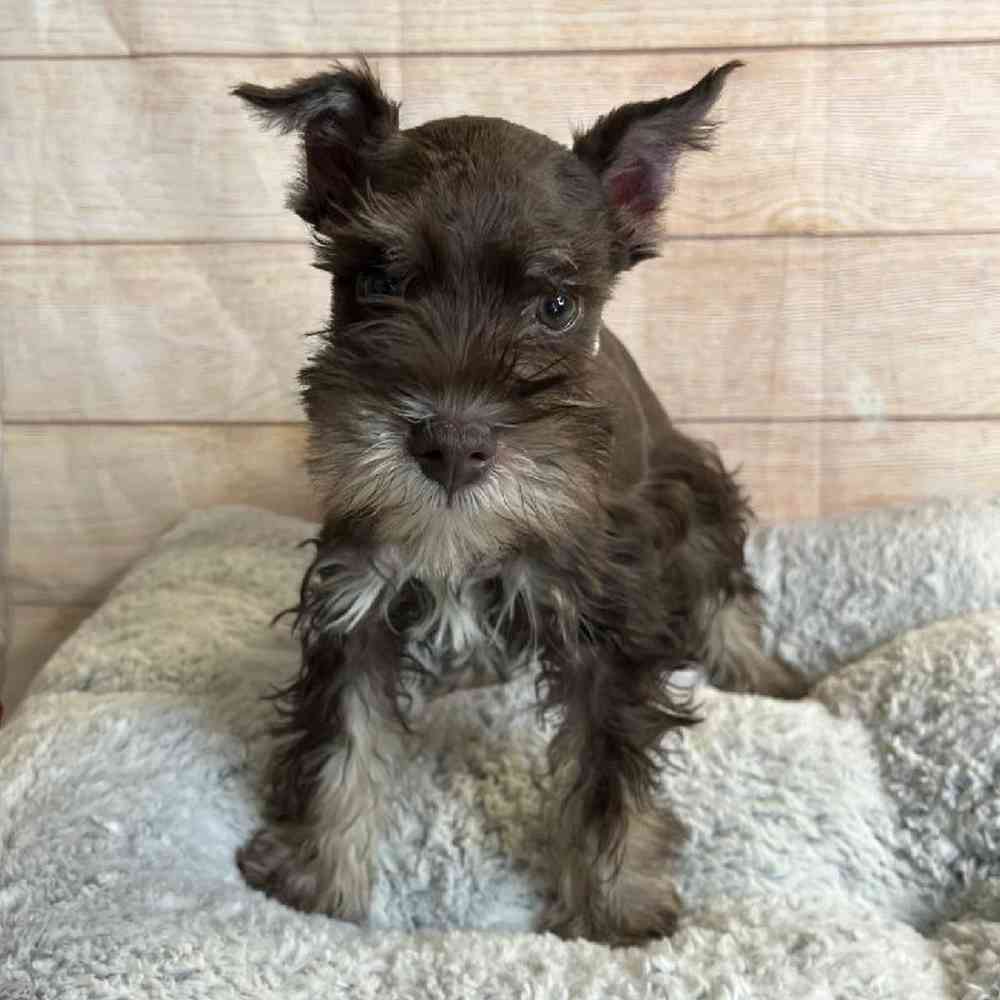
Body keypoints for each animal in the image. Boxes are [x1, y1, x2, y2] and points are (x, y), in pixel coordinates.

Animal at [230, 56, 800, 944]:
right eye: (378, 280)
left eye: (556, 305)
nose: (450, 446)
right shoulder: (354, 601)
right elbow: (338, 740)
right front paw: (315, 876)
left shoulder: (608, 624)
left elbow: (609, 772)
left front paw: (618, 905)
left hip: (696, 489)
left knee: (724, 586)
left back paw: (762, 672)